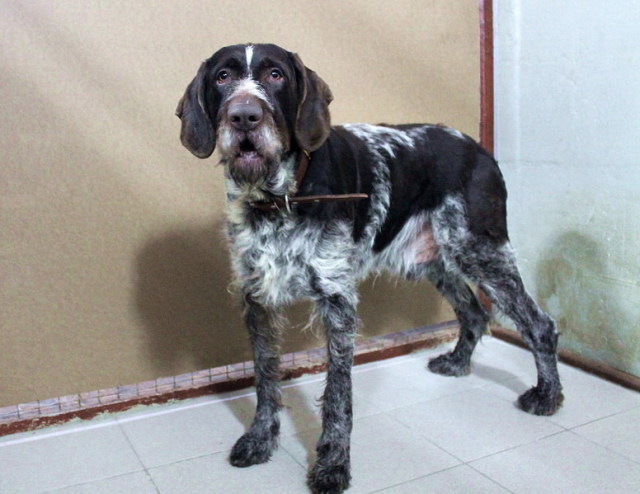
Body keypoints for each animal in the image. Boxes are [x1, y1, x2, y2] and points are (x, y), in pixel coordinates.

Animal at [176, 43, 563, 493]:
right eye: (222, 77)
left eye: (275, 75)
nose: (243, 116)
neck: (281, 196)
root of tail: (479, 148)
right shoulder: (257, 298)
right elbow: (265, 377)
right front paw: (260, 438)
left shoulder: (337, 300)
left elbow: (338, 394)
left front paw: (333, 464)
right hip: (437, 262)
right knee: (474, 312)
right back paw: (457, 363)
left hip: (480, 250)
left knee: (539, 324)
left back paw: (547, 396)